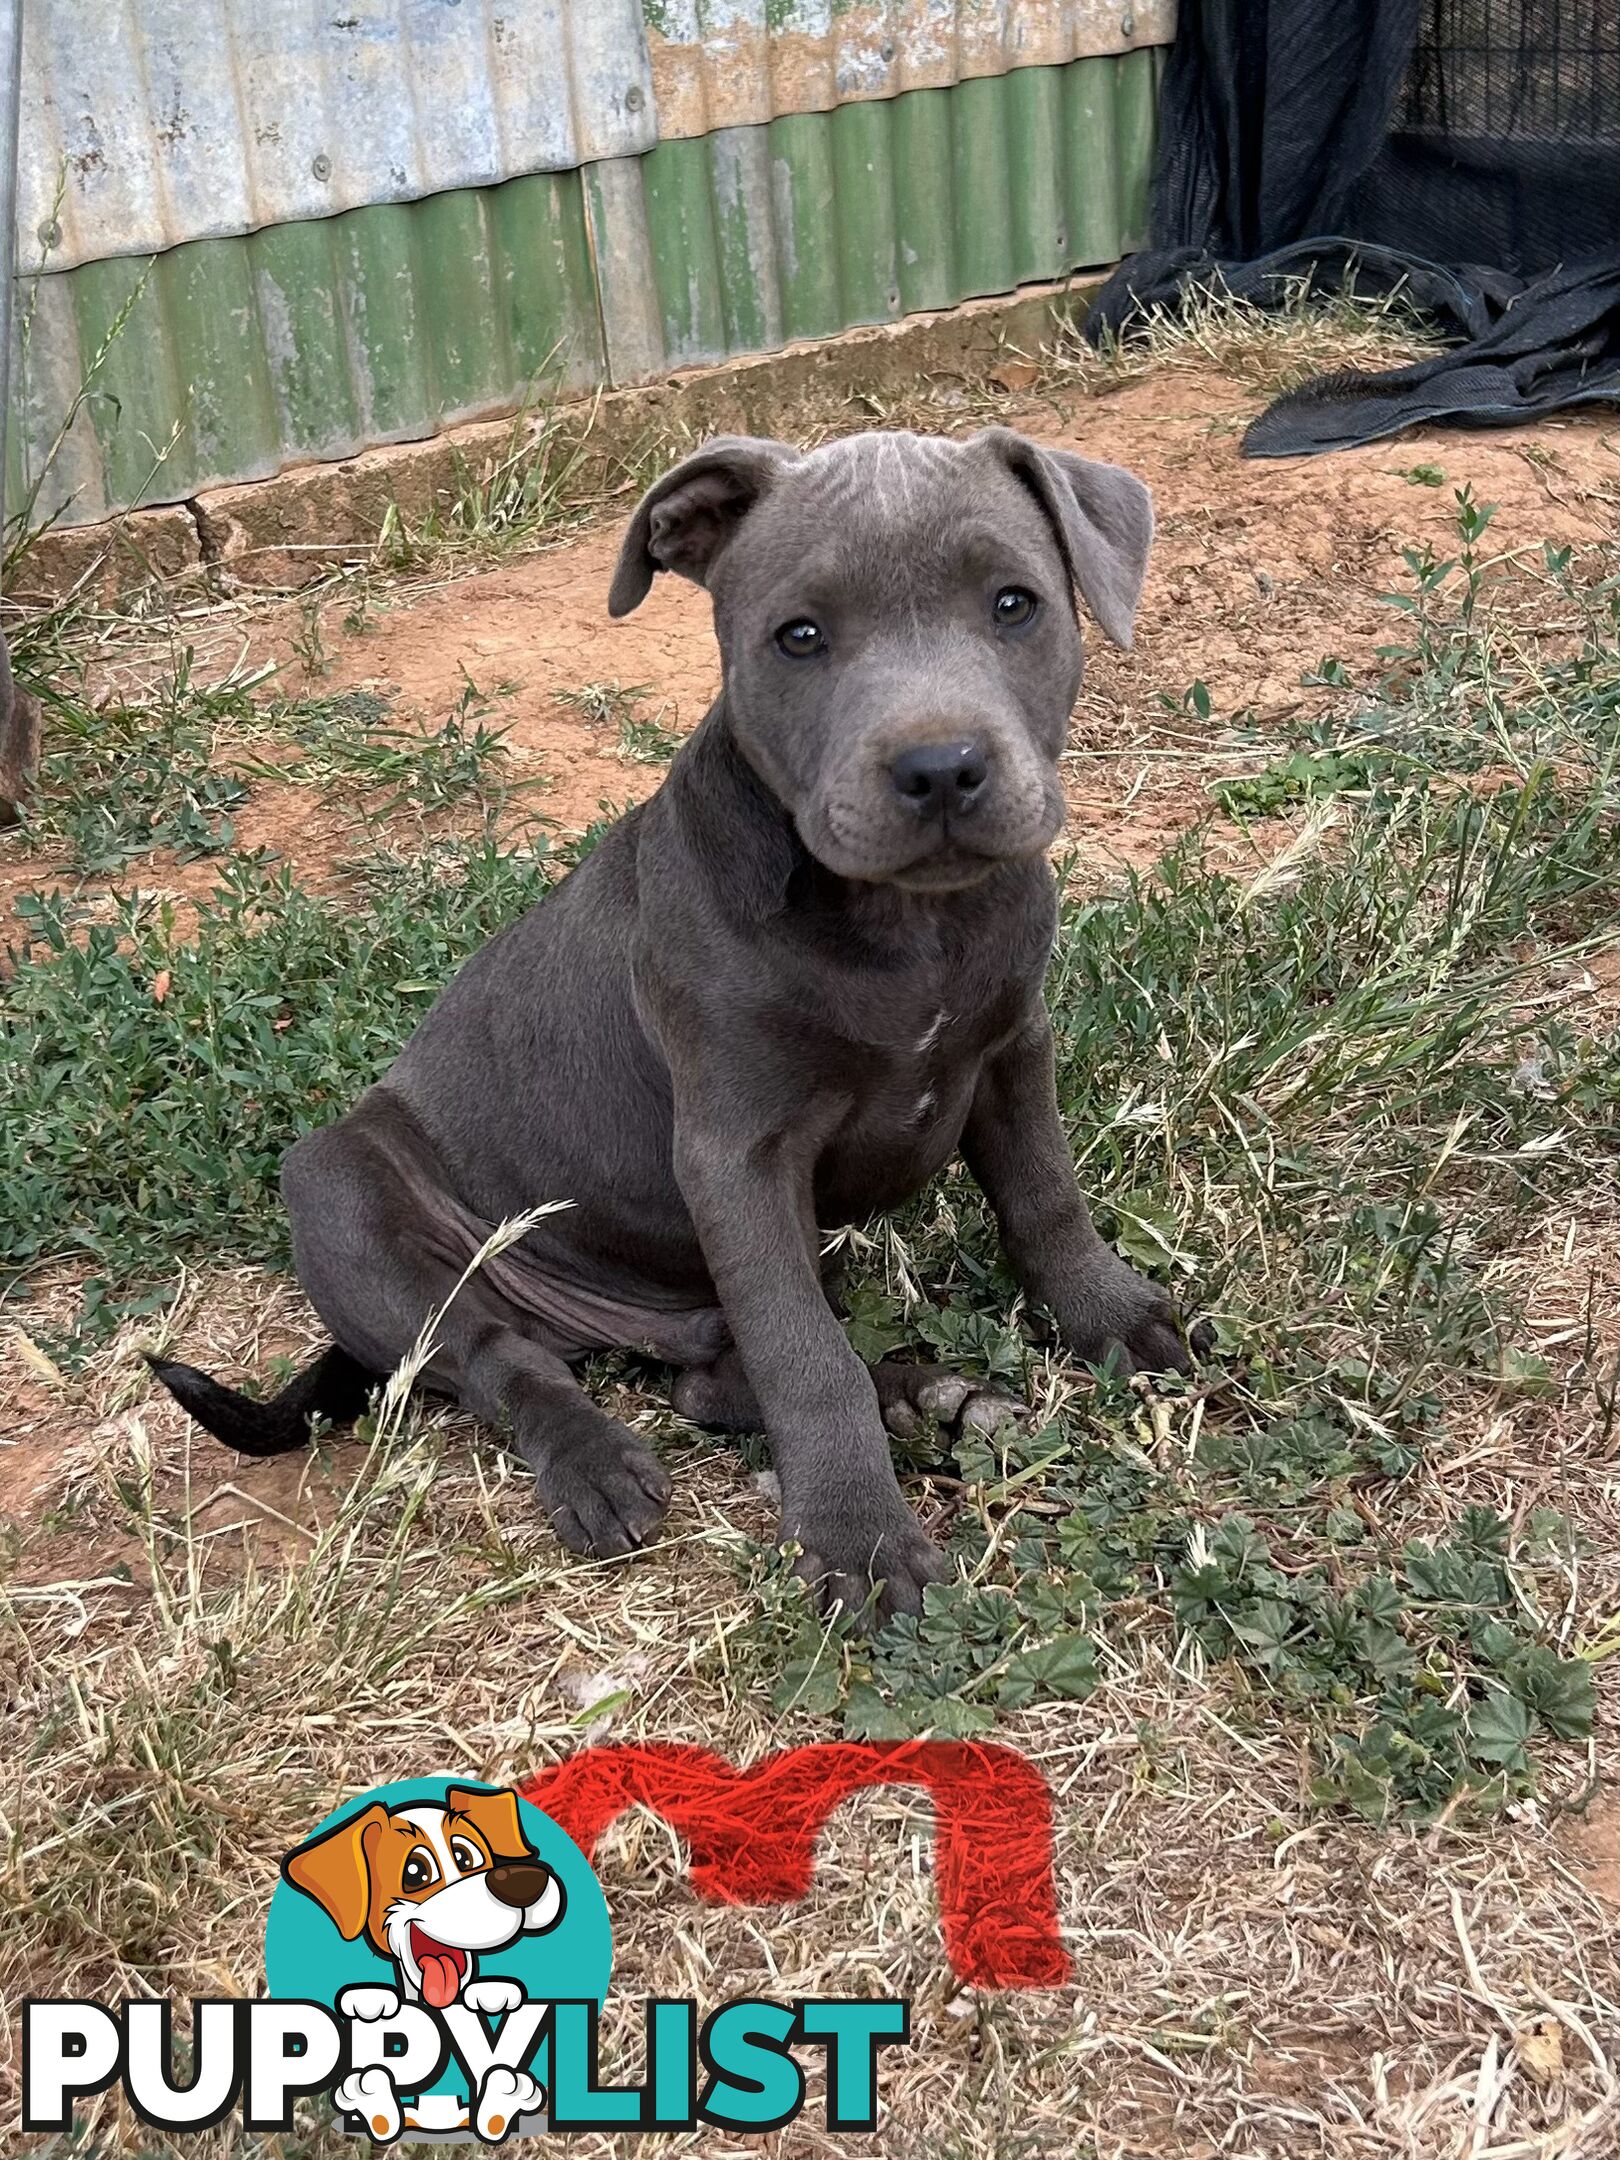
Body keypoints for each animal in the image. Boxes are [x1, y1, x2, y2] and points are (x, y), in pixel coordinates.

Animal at [155, 425, 1209, 1624]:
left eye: (1015, 604)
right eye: (798, 637)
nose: (939, 767)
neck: (907, 925)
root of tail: (599, 1321)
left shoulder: (1011, 1050)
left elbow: (1043, 1196)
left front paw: (1109, 1316)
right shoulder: (735, 1153)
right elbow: (806, 1360)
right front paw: (857, 1537)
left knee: (711, 1374)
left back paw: (928, 1397)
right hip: (342, 1192)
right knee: (503, 1359)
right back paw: (600, 1465)